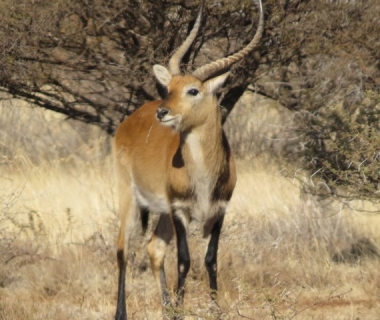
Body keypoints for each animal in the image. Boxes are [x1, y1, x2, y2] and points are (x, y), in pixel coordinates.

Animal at [113, 1, 264, 318]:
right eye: (169, 88)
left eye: (193, 90)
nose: (163, 112)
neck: (203, 174)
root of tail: (129, 121)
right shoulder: (180, 210)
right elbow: (184, 259)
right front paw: (183, 308)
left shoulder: (219, 210)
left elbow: (210, 259)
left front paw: (214, 309)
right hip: (129, 197)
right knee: (123, 248)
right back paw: (123, 312)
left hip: (161, 212)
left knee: (154, 249)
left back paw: (166, 308)